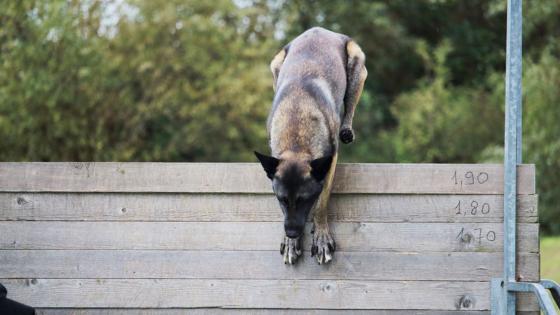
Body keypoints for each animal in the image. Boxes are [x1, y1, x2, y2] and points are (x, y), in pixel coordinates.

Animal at [255, 27, 368, 266]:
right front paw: (290, 244)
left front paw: (322, 237)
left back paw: (347, 129)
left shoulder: (330, 162)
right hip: (276, 64)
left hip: (356, 65)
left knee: (350, 107)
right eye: (281, 199)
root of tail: (321, 30)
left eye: (304, 200)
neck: (297, 140)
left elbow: (322, 202)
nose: (291, 233)